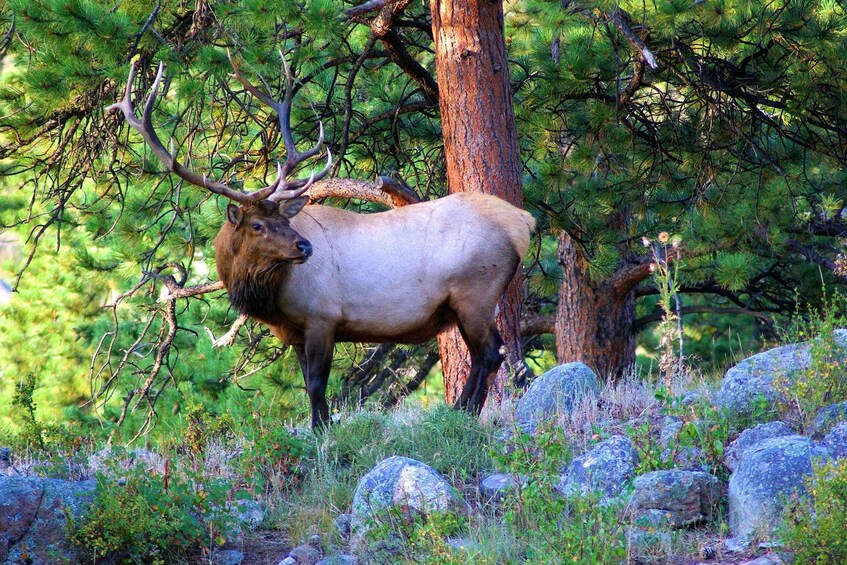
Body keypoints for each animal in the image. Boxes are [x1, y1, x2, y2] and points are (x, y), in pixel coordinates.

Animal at [104, 56, 528, 428]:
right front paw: (319, 429)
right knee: (485, 356)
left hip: (475, 293)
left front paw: (323, 434)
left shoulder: (323, 317)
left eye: (281, 220)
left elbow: (317, 385)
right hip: (462, 305)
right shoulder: (293, 333)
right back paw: (458, 412)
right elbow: (310, 386)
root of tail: (523, 223)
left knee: (490, 354)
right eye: (258, 224)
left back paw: (464, 414)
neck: (272, 299)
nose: (305, 247)